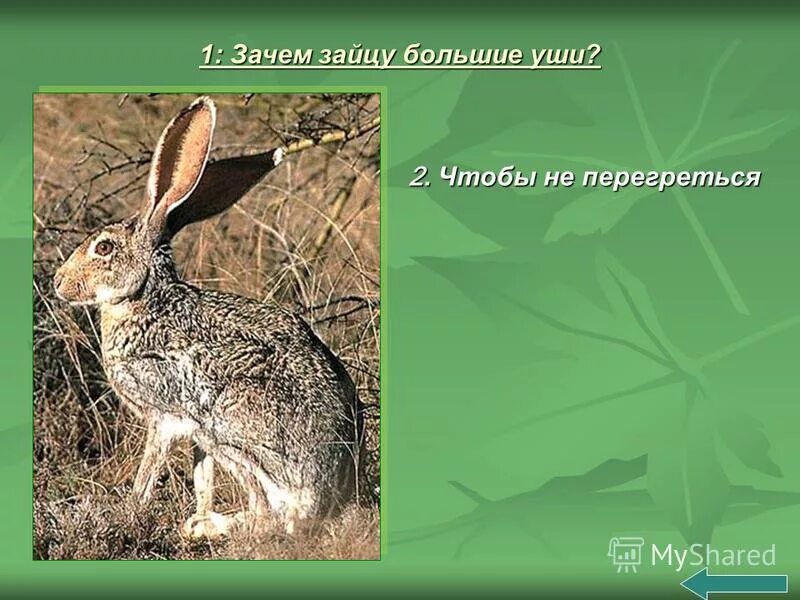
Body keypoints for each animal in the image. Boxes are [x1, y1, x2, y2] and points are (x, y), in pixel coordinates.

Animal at [53, 97, 364, 538]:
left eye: (104, 248)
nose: (59, 283)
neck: (144, 299)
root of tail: (330, 492)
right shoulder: (192, 438)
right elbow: (202, 478)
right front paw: (192, 508)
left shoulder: (166, 414)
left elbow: (149, 470)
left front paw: (127, 510)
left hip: (229, 429)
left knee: (270, 515)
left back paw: (205, 527)